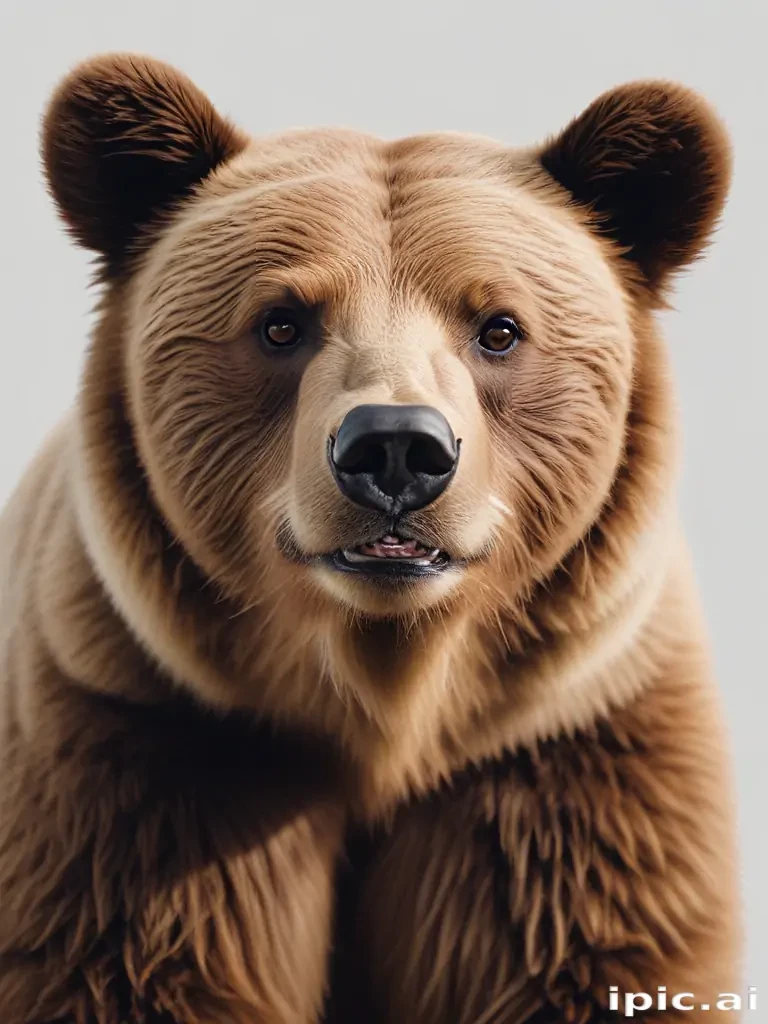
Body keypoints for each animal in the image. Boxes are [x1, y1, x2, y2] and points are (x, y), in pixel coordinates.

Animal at [0, 52, 740, 1023]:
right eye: (281, 321)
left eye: (499, 327)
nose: (395, 447)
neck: (384, 705)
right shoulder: (148, 743)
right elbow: (123, 959)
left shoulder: (566, 754)